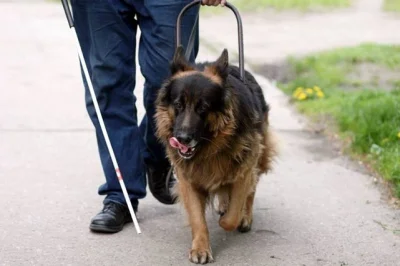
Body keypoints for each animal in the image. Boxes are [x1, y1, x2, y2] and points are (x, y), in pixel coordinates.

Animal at [153, 46, 276, 264]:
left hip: (258, 156)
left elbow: (232, 216)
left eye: (203, 107)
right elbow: (197, 218)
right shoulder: (189, 180)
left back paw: (245, 216)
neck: (211, 146)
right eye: (178, 105)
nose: (182, 138)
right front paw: (200, 248)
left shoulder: (244, 171)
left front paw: (233, 218)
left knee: (250, 191)